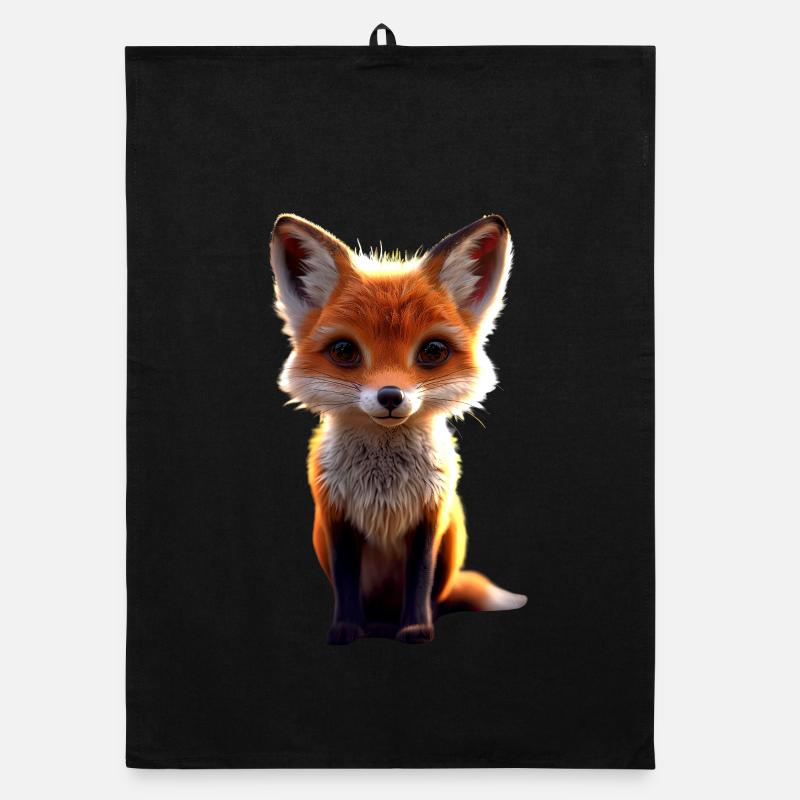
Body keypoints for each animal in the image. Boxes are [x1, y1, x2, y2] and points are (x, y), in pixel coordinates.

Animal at [269, 213, 527, 645]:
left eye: (433, 351)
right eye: (344, 351)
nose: (391, 396)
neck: (383, 487)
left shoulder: (430, 518)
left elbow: (419, 581)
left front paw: (416, 628)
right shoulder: (335, 519)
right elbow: (346, 583)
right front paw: (345, 630)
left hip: (453, 537)